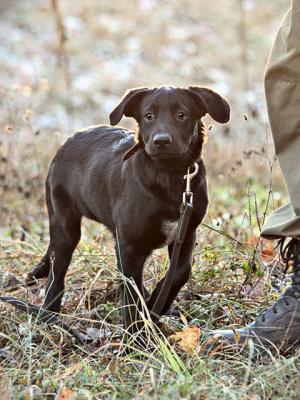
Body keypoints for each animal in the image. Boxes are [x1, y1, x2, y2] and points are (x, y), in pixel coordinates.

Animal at [25, 86, 231, 334]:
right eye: (148, 116)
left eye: (181, 115)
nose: (161, 141)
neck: (168, 175)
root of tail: (68, 141)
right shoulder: (129, 246)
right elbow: (132, 295)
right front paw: (136, 334)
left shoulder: (186, 233)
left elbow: (180, 273)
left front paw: (154, 307)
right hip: (65, 224)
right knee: (57, 274)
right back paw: (50, 316)